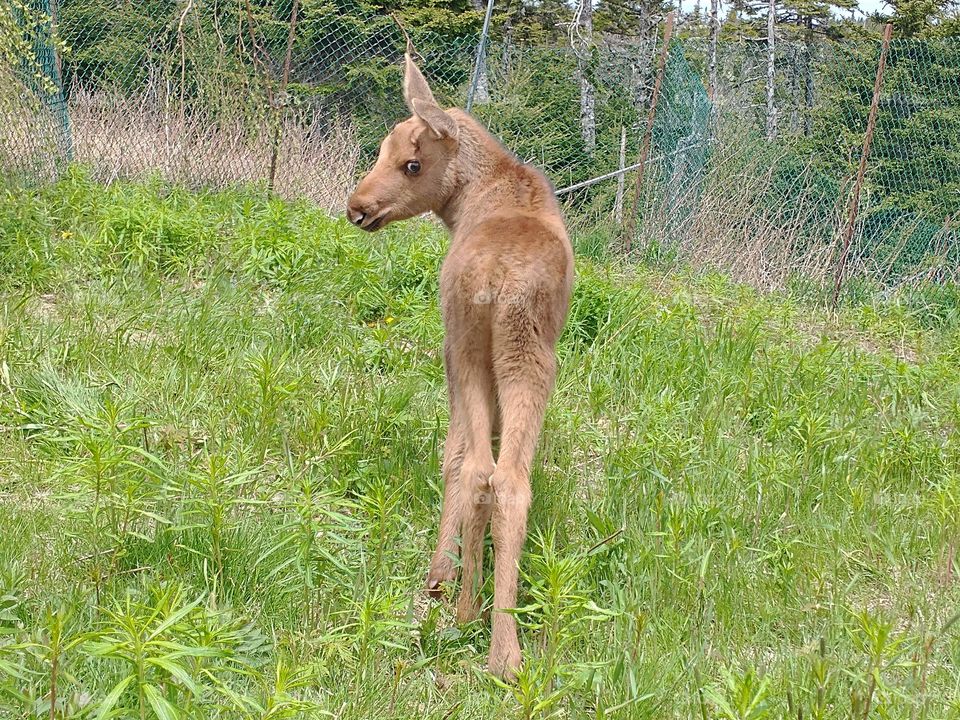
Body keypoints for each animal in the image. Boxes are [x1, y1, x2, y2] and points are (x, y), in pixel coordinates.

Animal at [346, 46, 574, 680]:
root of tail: (499, 280)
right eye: (384, 150)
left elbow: (456, 455)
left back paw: (480, 623)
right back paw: (492, 634)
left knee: (485, 470)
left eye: (412, 163)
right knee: (499, 474)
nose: (357, 207)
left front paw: (441, 575)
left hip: (480, 348)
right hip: (512, 354)